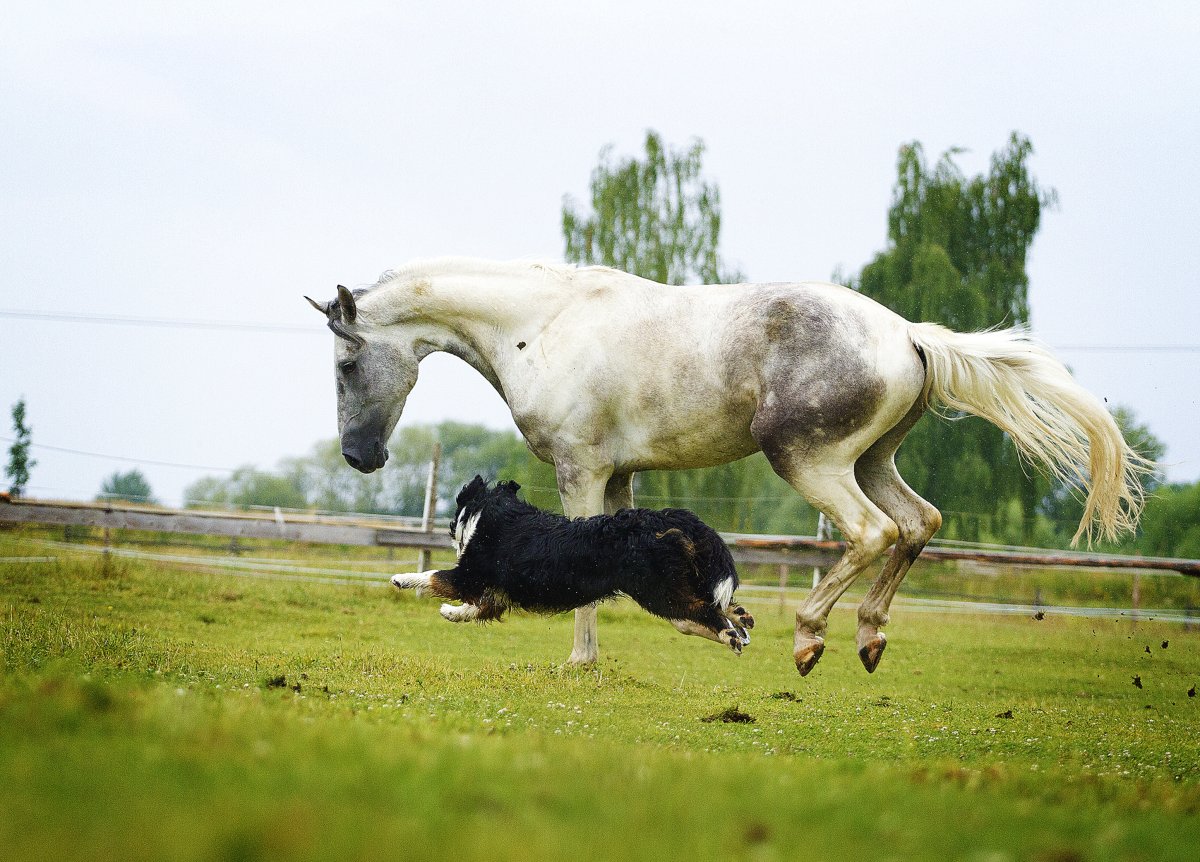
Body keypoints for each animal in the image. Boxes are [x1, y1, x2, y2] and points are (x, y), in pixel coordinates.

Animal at [391, 480, 748, 653]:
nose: (451, 530)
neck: (493, 513)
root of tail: (660, 516)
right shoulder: (497, 594)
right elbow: (474, 609)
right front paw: (451, 613)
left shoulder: (469, 576)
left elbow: (432, 576)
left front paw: (400, 578)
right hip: (680, 580)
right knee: (716, 603)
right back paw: (741, 618)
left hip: (659, 591)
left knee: (705, 610)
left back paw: (730, 635)